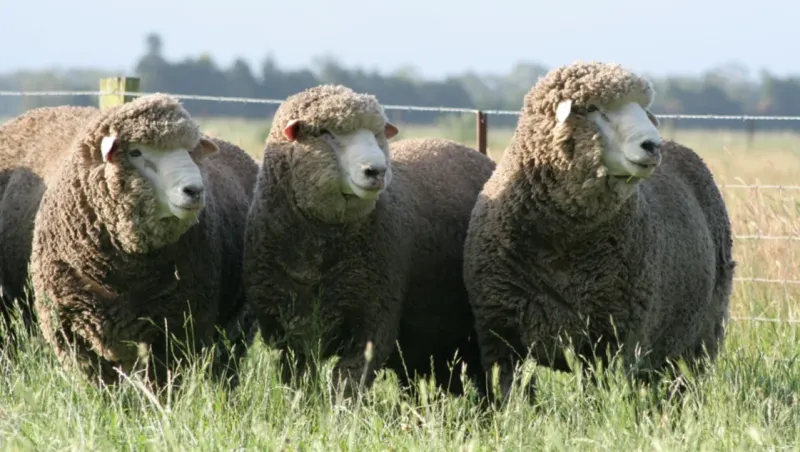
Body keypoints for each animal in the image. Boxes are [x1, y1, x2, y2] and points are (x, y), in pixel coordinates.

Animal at [0, 95, 258, 384]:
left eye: (190, 151)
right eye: (136, 152)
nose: (194, 190)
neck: (126, 274)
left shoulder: (177, 329)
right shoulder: (72, 329)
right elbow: (100, 384)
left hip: (237, 325)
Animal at [241, 84, 496, 396]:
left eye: (377, 134)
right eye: (325, 133)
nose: (377, 171)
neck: (318, 255)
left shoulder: (373, 321)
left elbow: (347, 382)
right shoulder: (288, 333)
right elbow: (298, 381)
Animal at [462, 61, 736, 402]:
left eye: (641, 108)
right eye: (593, 108)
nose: (652, 145)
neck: (562, 248)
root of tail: (682, 147)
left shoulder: (611, 339)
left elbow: (598, 396)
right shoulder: (502, 334)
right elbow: (512, 393)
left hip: (703, 329)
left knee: (689, 378)